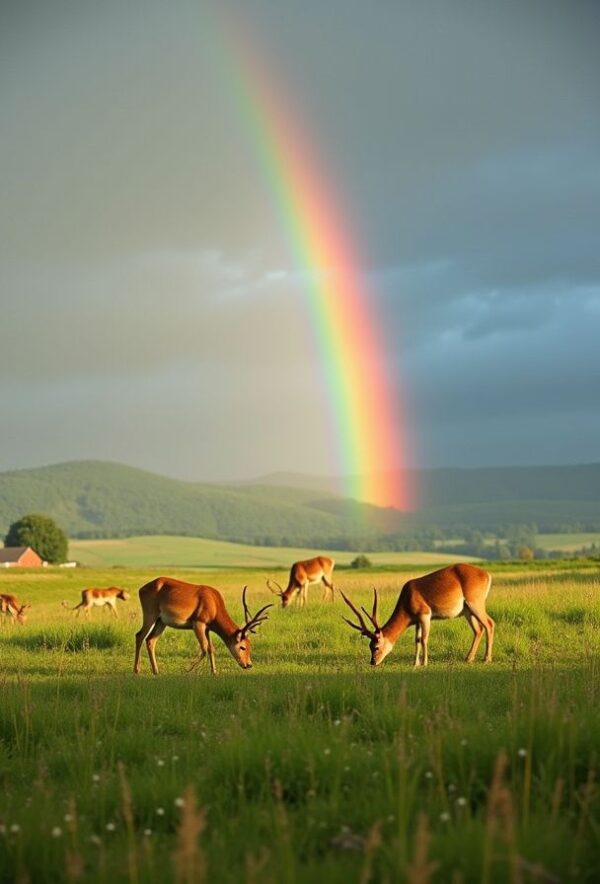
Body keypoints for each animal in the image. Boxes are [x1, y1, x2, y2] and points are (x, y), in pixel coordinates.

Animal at [133, 576, 272, 672]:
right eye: (242, 647)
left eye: (250, 646)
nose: (248, 664)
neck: (214, 603)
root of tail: (142, 588)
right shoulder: (198, 624)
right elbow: (204, 648)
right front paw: (187, 670)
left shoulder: (207, 628)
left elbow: (211, 648)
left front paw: (214, 672)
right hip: (150, 616)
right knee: (139, 635)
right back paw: (136, 670)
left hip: (161, 622)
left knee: (150, 640)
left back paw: (156, 671)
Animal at [340, 564, 494, 668]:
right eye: (369, 646)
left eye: (376, 646)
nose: (373, 662)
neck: (408, 597)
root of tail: (486, 574)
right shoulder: (417, 621)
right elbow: (417, 640)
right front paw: (415, 663)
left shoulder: (425, 616)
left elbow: (424, 639)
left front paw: (424, 663)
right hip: (467, 611)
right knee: (478, 630)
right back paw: (469, 658)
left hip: (475, 604)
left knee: (489, 624)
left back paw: (486, 659)